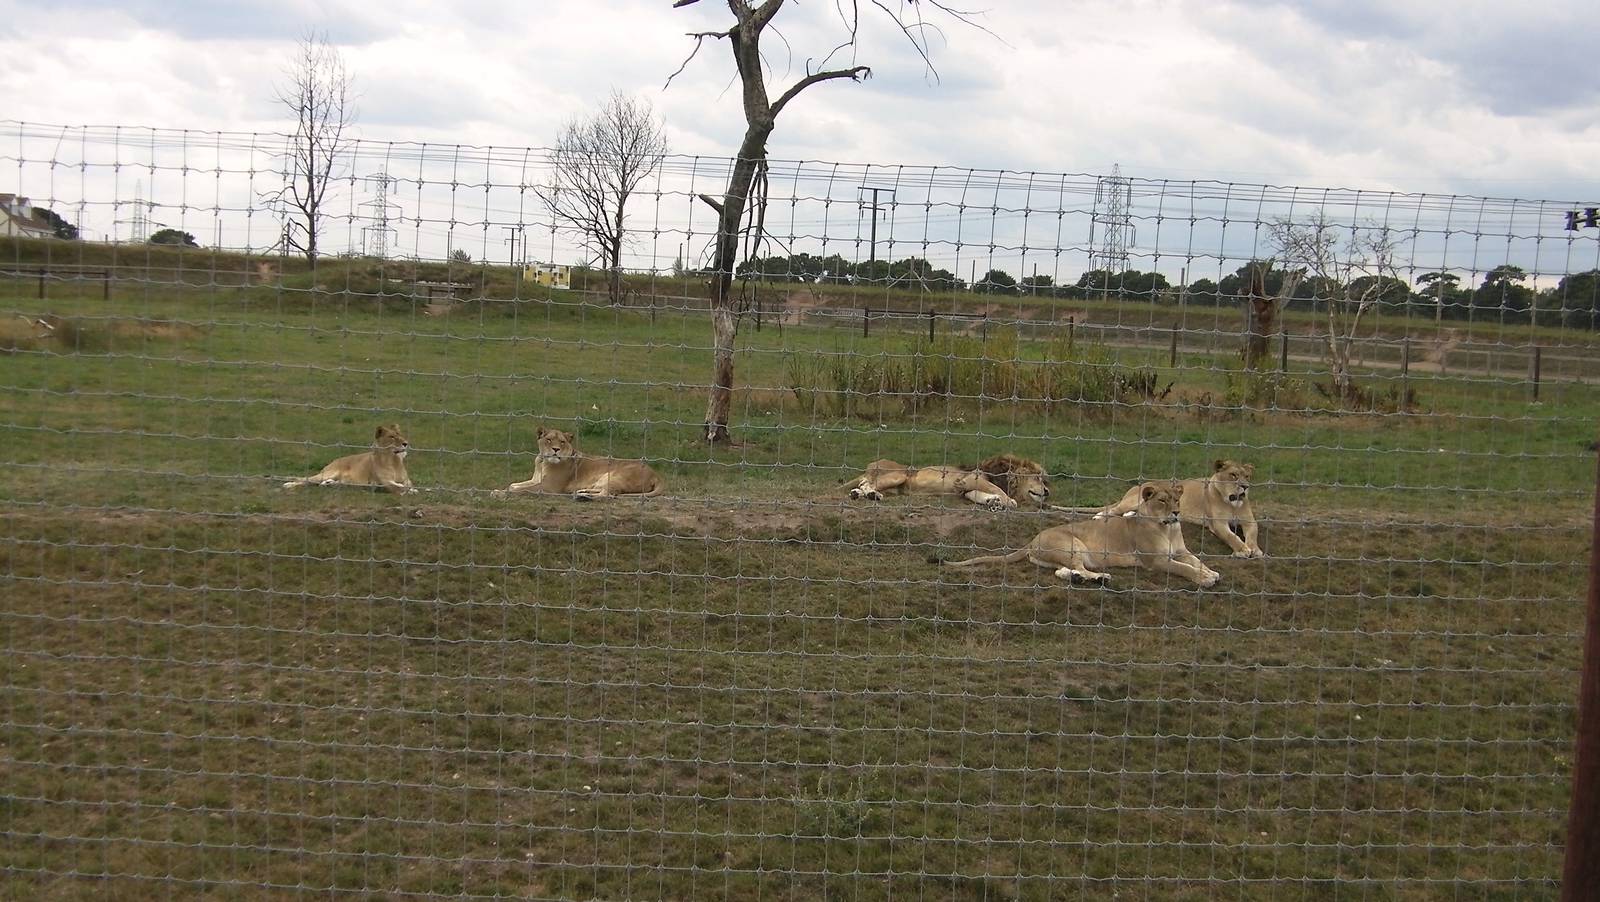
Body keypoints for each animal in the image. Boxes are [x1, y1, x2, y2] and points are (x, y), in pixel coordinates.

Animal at [282, 423, 413, 494]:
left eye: (400, 435)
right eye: (392, 437)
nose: (406, 443)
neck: (394, 460)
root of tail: (335, 460)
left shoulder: (406, 480)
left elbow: (408, 485)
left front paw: (412, 490)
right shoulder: (384, 482)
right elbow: (398, 486)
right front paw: (407, 491)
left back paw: (328, 484)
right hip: (328, 473)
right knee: (306, 480)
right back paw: (289, 485)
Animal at [492, 426, 664, 500]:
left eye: (562, 442)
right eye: (549, 440)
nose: (555, 449)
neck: (543, 461)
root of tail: (656, 474)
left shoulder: (549, 487)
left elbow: (522, 490)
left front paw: (500, 493)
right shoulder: (536, 479)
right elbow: (514, 485)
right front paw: (503, 489)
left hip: (615, 475)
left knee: (609, 495)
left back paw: (583, 496)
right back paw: (580, 492)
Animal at [844, 453, 1050, 510]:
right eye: (1037, 478)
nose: (1047, 492)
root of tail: (871, 463)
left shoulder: (965, 488)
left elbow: (977, 495)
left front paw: (993, 502)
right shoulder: (971, 478)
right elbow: (999, 491)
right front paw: (1007, 501)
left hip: (896, 487)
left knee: (863, 486)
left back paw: (862, 495)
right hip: (898, 474)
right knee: (866, 483)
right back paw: (871, 494)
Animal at [945, 482, 1220, 587]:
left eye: (1177, 499)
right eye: (1162, 500)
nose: (1176, 512)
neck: (1168, 528)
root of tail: (1033, 539)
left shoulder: (1182, 551)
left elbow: (1196, 560)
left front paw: (1211, 573)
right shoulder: (1157, 561)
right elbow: (1183, 568)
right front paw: (1204, 579)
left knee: (1061, 571)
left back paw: (1085, 578)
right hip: (1072, 545)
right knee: (1075, 567)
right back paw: (1100, 577)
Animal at [1091, 459, 1262, 558]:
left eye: (1247, 476)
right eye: (1233, 475)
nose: (1245, 487)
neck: (1232, 503)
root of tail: (1140, 485)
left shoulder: (1250, 522)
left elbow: (1253, 535)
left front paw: (1255, 549)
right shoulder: (1218, 524)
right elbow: (1231, 536)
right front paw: (1242, 550)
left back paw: (1130, 515)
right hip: (1133, 500)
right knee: (1113, 510)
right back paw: (1100, 516)